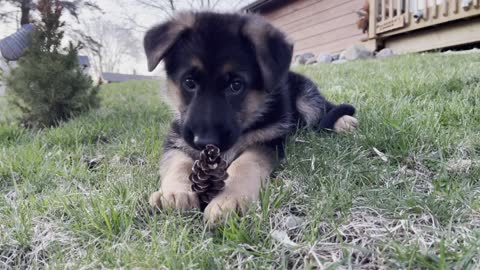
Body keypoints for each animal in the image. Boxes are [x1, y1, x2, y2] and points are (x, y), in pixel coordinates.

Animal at [143, 11, 356, 225]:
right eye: (189, 82)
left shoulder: (266, 141)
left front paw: (229, 199)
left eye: (236, 85)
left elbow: (246, 164)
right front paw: (175, 193)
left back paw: (345, 121)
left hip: (307, 99)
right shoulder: (176, 140)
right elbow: (178, 163)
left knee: (324, 110)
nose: (205, 142)